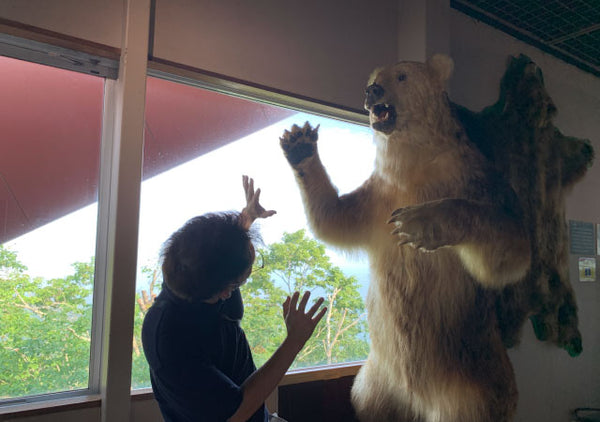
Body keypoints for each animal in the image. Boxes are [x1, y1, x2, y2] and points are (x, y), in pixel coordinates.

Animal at [278, 53, 592, 422]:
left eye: (401, 76)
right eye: (372, 76)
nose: (372, 90)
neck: (414, 166)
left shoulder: (473, 177)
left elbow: (510, 249)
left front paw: (421, 221)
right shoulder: (379, 196)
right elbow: (336, 219)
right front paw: (299, 144)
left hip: (472, 383)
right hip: (376, 381)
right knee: (372, 402)